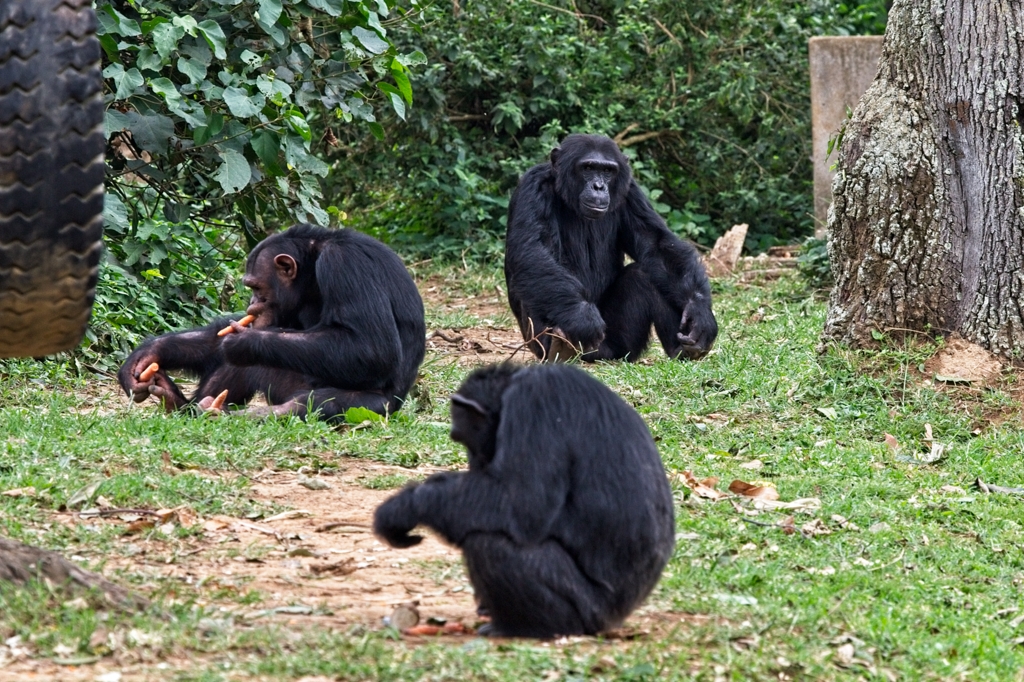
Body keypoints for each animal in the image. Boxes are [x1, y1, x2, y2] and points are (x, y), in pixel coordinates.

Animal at [117, 222, 425, 419]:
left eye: (255, 287)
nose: (252, 302)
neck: (313, 267)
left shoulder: (344, 264)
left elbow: (371, 347)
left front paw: (244, 341)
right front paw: (147, 355)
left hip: (378, 406)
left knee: (320, 402)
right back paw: (181, 403)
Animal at [372, 364, 675, 634]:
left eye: (464, 438)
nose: (478, 459)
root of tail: (618, 618)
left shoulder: (535, 403)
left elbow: (521, 501)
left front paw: (404, 507)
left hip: (590, 610)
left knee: (489, 544)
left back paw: (527, 628)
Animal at [505, 132, 716, 360]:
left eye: (607, 171)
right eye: (588, 168)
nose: (598, 186)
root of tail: (599, 353)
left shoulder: (631, 192)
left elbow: (656, 244)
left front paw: (699, 313)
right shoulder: (533, 186)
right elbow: (533, 251)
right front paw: (581, 317)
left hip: (623, 344)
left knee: (644, 274)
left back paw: (684, 350)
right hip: (539, 342)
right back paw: (559, 346)